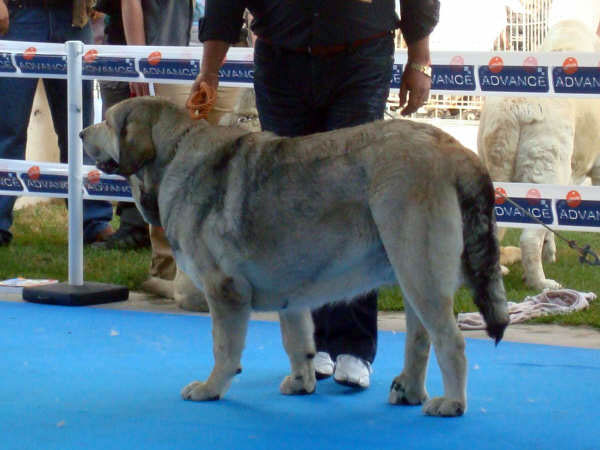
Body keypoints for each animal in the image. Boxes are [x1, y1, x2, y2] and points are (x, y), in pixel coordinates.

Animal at [82, 96, 508, 416]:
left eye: (107, 121)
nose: (83, 131)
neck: (172, 152)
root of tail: (456, 151)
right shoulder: (291, 291)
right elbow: (297, 340)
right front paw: (302, 382)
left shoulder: (224, 290)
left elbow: (224, 347)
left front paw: (210, 388)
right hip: (411, 273)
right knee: (420, 338)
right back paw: (410, 391)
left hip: (420, 270)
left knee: (451, 342)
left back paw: (451, 403)